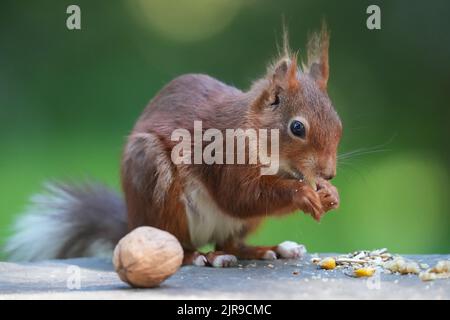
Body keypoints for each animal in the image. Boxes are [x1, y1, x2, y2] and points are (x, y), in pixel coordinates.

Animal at [5, 26, 342, 264]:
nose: (329, 173)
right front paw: (302, 194)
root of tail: (133, 224)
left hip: (238, 225)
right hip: (157, 185)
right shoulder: (226, 155)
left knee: (231, 243)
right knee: (180, 244)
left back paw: (266, 250)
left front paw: (329, 194)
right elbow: (240, 196)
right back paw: (201, 257)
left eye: (339, 123)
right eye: (297, 127)